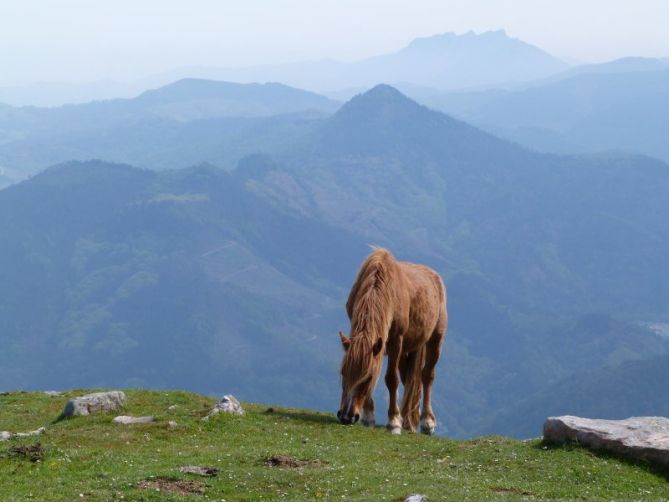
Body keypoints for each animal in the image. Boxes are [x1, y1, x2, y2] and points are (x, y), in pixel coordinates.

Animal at [336, 245, 446, 434]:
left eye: (367, 378)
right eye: (343, 373)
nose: (346, 417)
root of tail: (435, 277)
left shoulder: (396, 341)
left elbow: (391, 379)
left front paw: (394, 421)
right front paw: (369, 417)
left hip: (434, 340)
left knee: (427, 376)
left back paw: (426, 421)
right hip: (409, 349)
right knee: (409, 379)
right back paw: (408, 420)